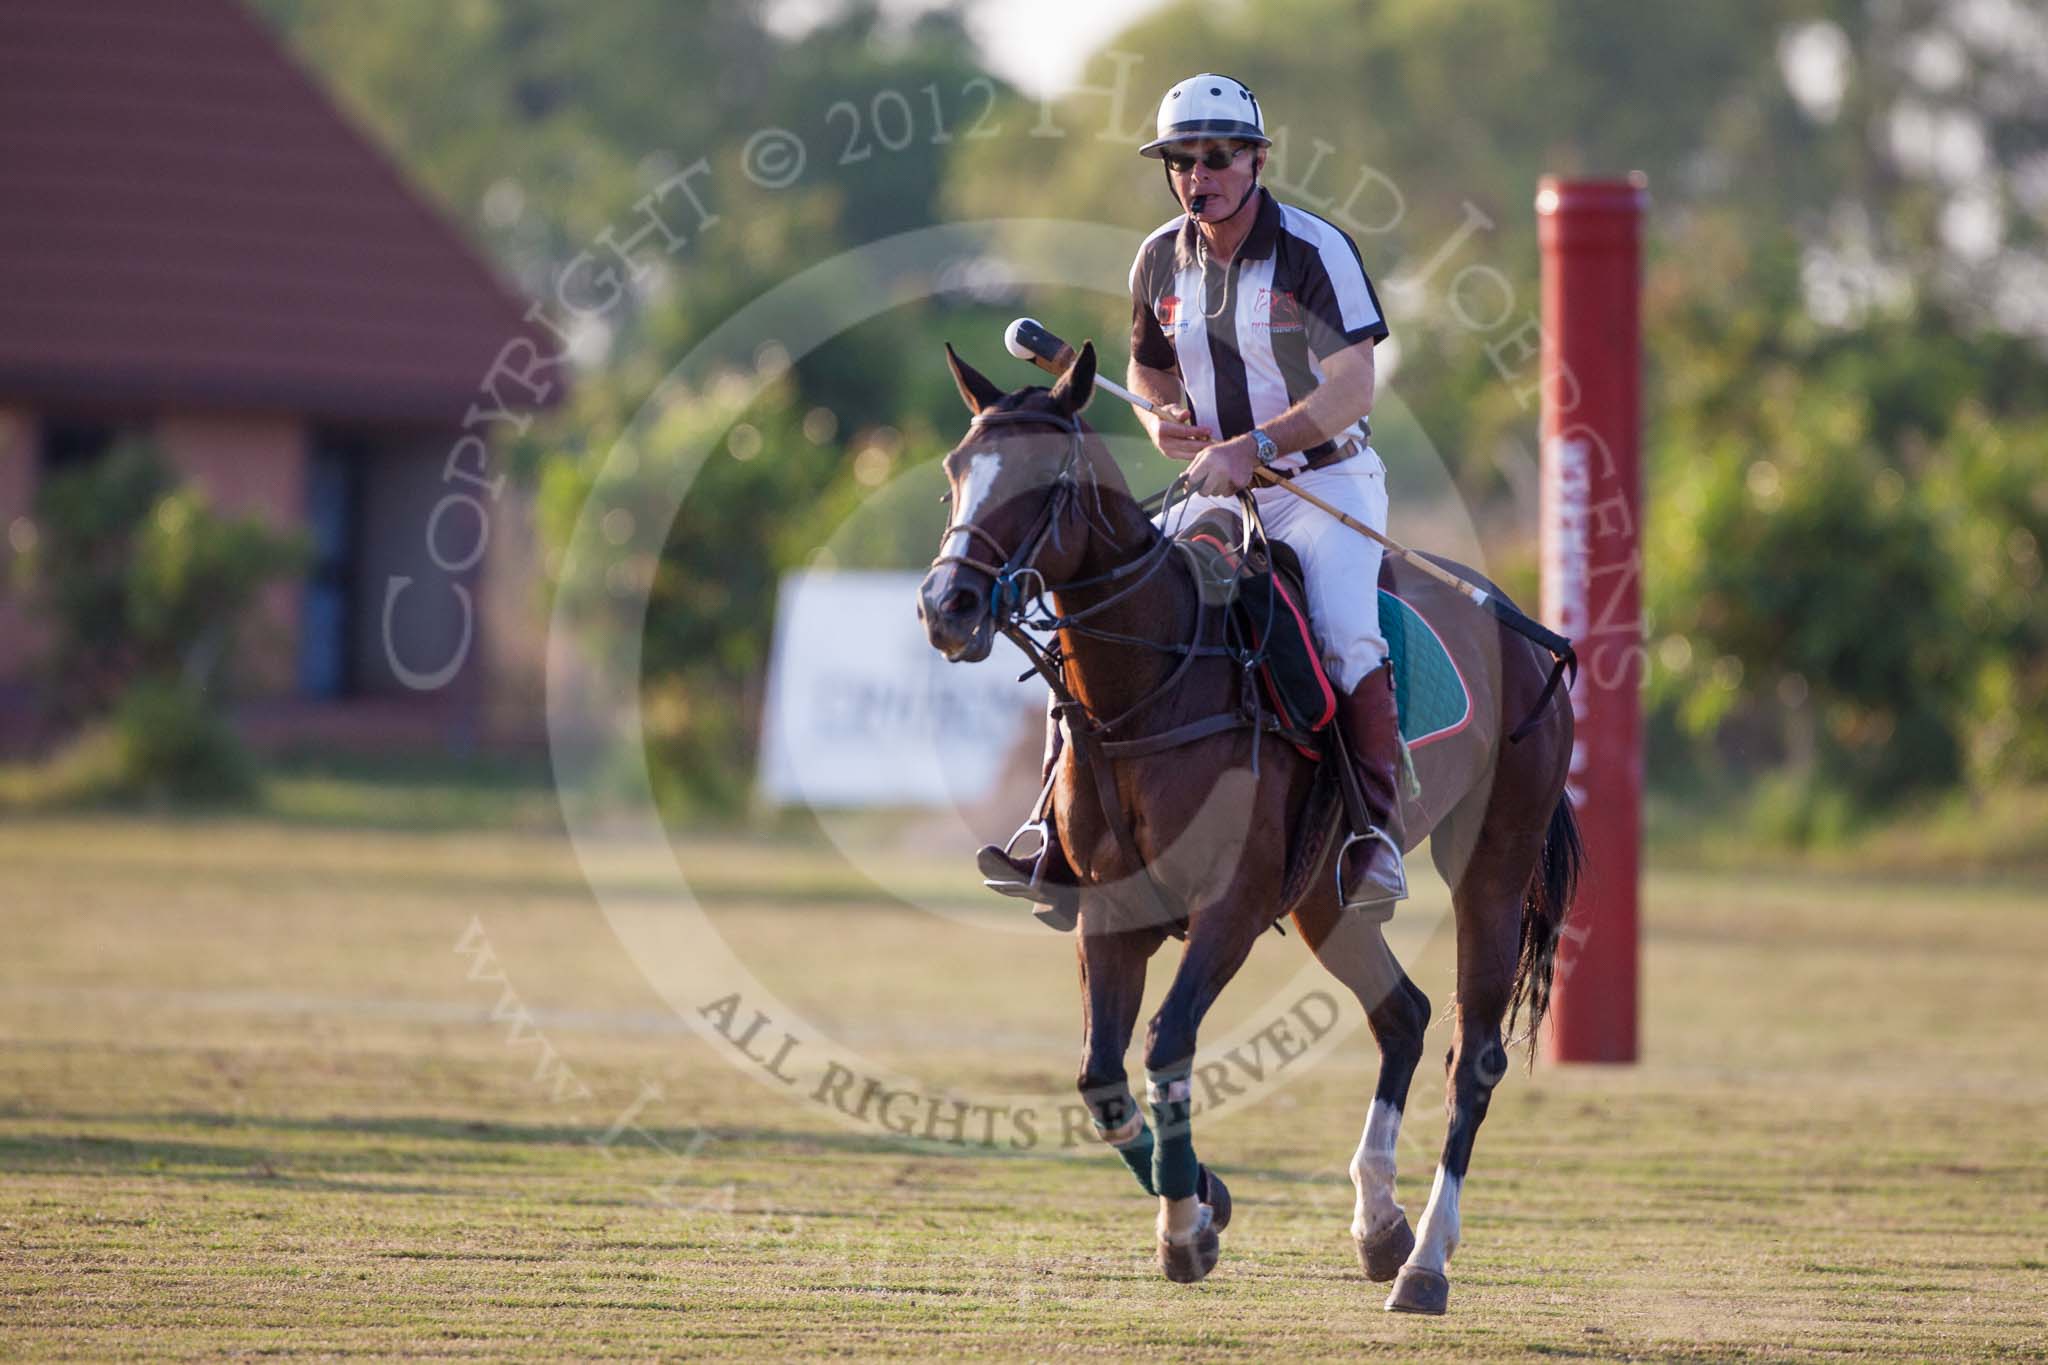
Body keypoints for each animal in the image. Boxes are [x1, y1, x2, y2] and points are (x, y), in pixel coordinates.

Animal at [917, 335, 1581, 1317]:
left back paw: (1425, 1261)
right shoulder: (1111, 913)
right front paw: (1206, 1196)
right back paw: (1379, 1223)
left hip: (1492, 859)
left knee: (1475, 1052)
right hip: (1323, 896)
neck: (1147, 689)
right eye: (957, 471)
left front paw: (1186, 1228)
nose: (945, 607)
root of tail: (1531, 636)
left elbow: (1167, 1042)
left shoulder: (1230, 906)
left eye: (1047, 483)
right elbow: (1101, 1076)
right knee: (1405, 1014)